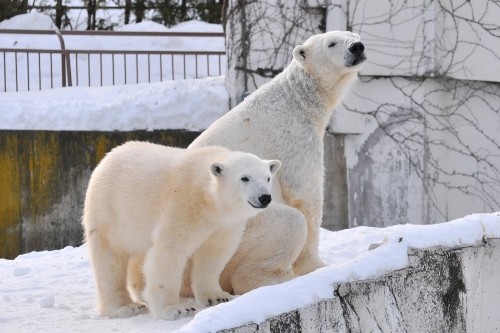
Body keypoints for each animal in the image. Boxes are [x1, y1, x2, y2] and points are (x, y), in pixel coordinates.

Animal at [84, 141, 284, 320]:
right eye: (245, 178)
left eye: (267, 178)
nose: (264, 197)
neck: (208, 197)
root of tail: (106, 159)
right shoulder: (183, 204)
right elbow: (170, 250)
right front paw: (174, 309)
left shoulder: (224, 224)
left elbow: (214, 253)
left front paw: (217, 297)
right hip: (110, 211)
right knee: (110, 260)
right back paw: (125, 307)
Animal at [189, 29, 366, 292]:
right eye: (332, 43)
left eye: (354, 36)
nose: (357, 47)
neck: (296, 99)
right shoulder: (293, 136)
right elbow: (306, 196)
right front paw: (317, 266)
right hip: (239, 223)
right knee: (288, 222)